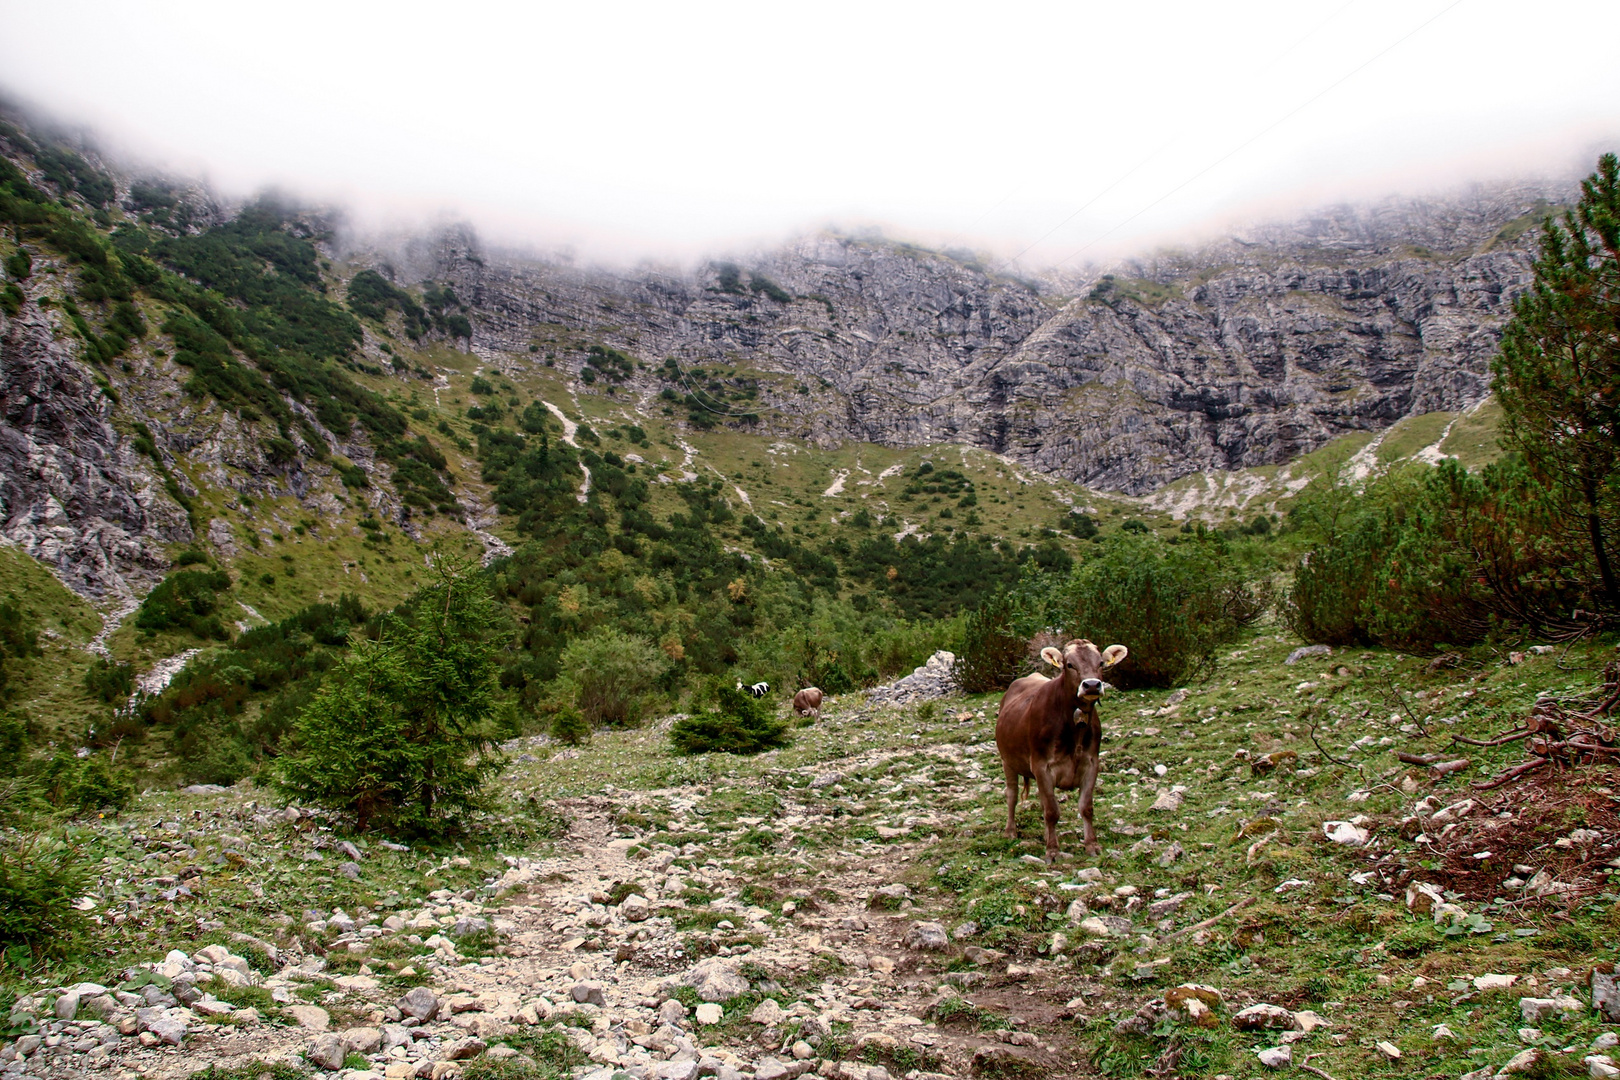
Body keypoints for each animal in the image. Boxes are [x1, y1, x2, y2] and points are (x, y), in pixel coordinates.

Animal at [991, 641, 1134, 861]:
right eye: (1069, 664)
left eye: (1101, 663)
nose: (1091, 685)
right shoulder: (1041, 765)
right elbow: (1052, 811)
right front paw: (1052, 851)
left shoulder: (1091, 763)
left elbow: (1086, 808)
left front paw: (1092, 845)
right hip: (1008, 761)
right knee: (1012, 795)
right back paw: (1010, 831)